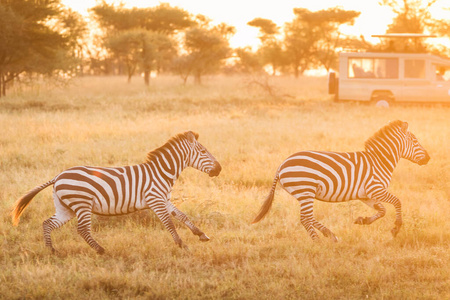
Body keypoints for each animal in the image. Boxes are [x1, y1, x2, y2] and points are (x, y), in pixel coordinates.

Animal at [11, 131, 221, 253]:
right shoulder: (155, 200)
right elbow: (169, 223)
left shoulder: (164, 200)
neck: (161, 172)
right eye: (203, 152)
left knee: (47, 223)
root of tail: (58, 176)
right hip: (82, 204)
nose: (219, 169)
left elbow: (183, 216)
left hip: (66, 208)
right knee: (82, 229)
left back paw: (51, 251)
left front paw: (201, 235)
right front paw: (182, 245)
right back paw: (101, 250)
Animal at [251, 120, 430, 240]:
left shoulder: (366, 195)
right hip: (306, 191)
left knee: (308, 218)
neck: (379, 161)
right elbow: (397, 202)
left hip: (303, 194)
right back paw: (318, 242)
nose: (428, 158)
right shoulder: (376, 189)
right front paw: (396, 228)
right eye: (415, 141)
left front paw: (363, 220)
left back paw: (329, 235)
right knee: (305, 219)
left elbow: (382, 210)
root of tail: (281, 165)